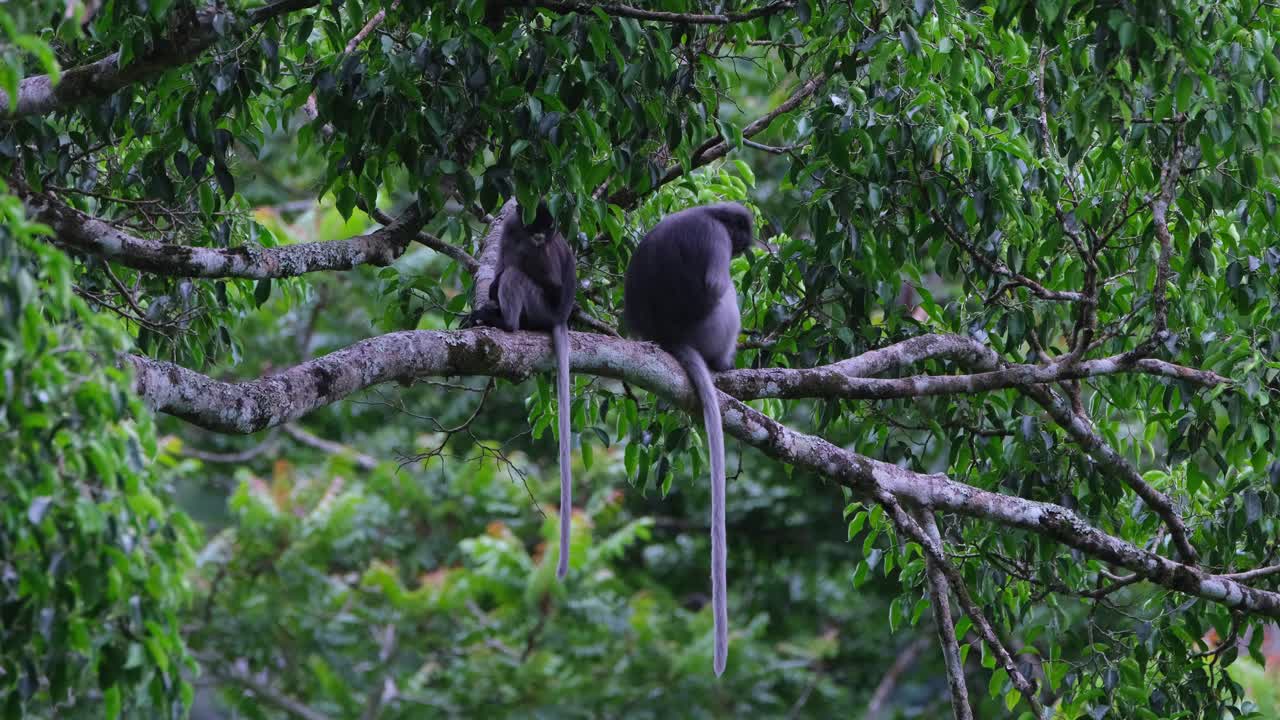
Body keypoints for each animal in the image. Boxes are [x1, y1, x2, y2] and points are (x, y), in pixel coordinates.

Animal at [467, 202, 578, 580]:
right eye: (536, 223)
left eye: (550, 224)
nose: (542, 235)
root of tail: (558, 319)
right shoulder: (513, 229)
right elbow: (503, 258)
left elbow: (548, 278)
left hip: (540, 307)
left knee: (518, 276)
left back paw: (506, 323)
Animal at [622, 201, 755, 676]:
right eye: (741, 234)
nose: (746, 246)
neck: (709, 213)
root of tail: (669, 337)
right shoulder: (713, 238)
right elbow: (716, 287)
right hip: (710, 329)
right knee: (724, 296)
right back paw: (722, 363)